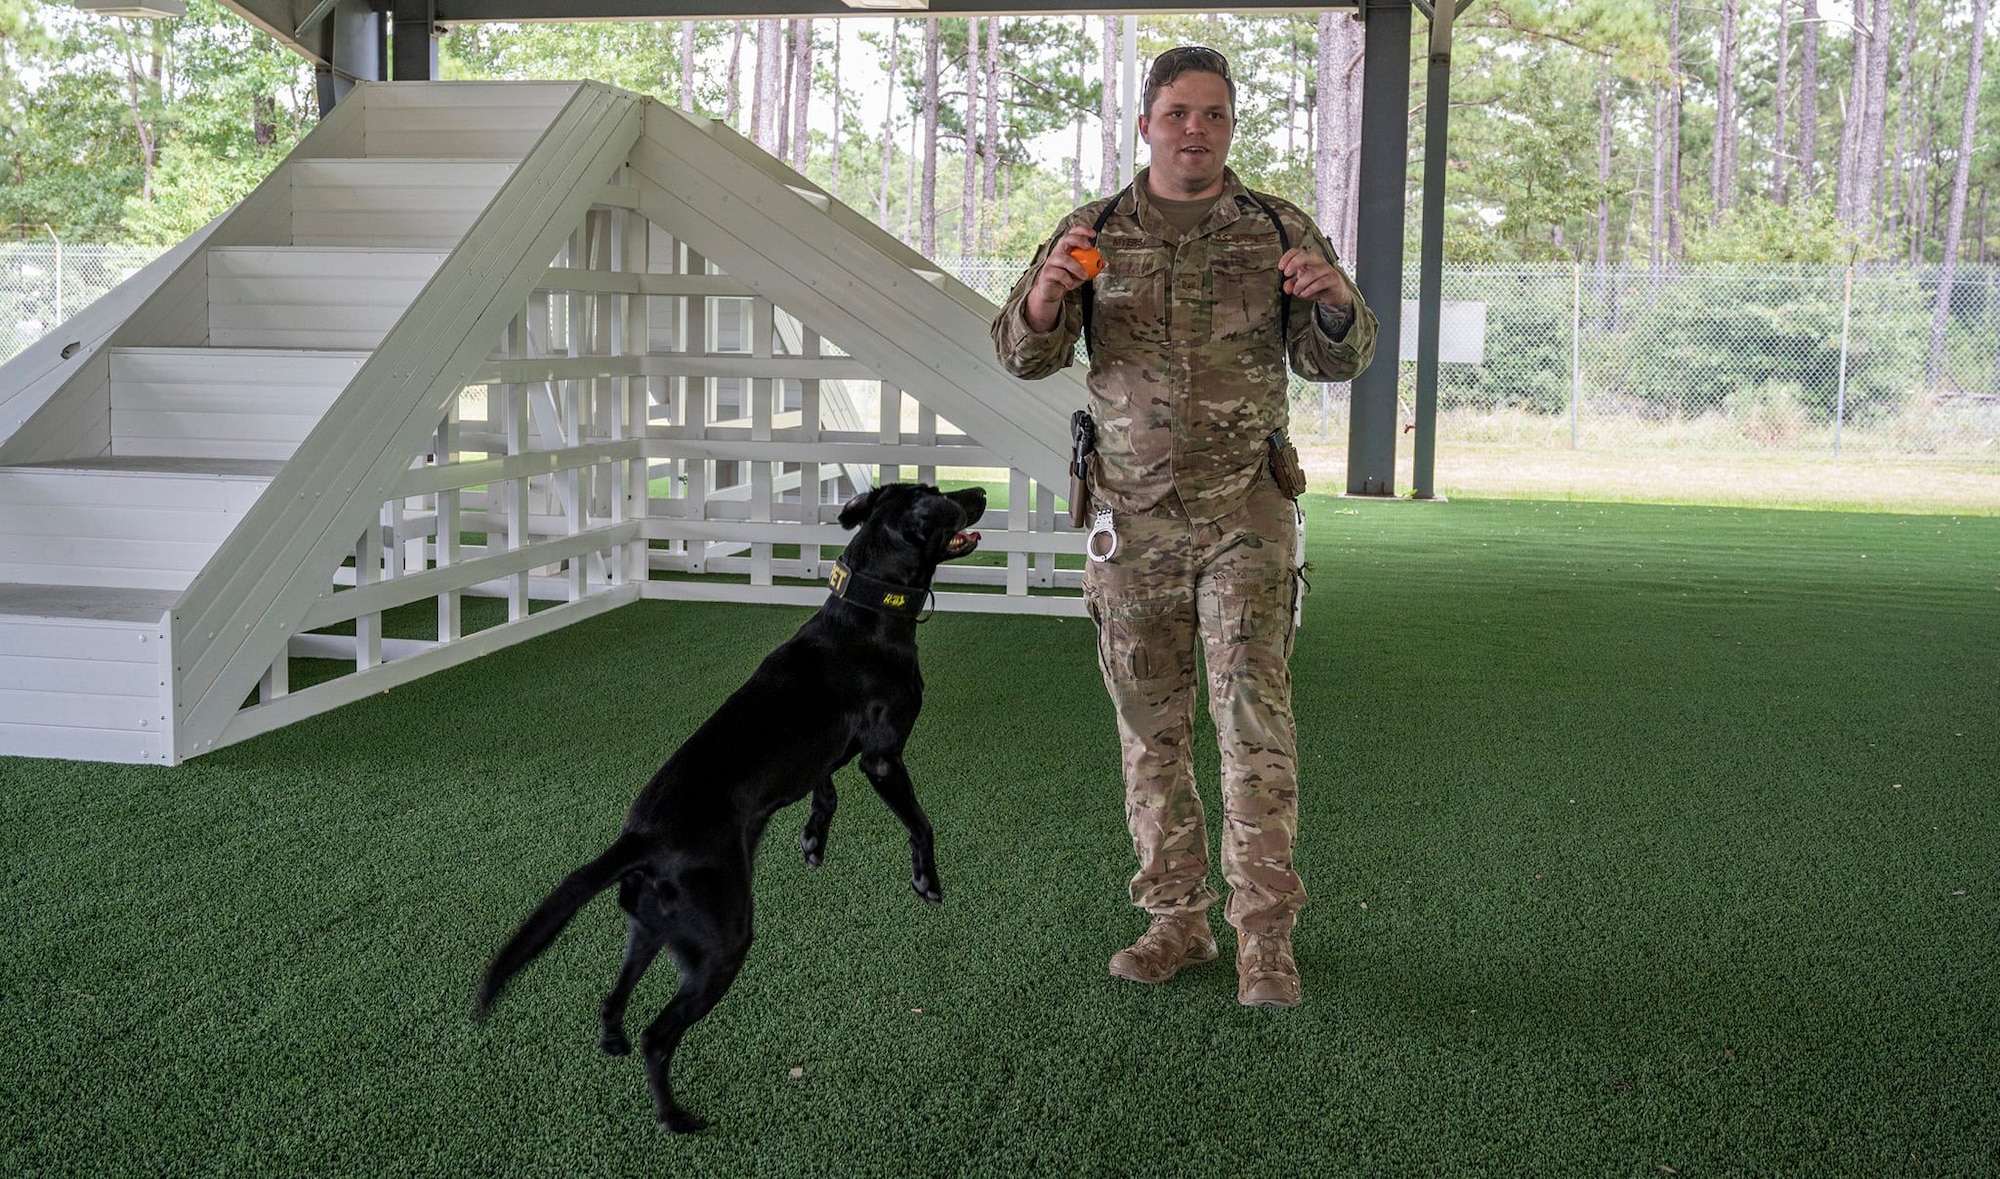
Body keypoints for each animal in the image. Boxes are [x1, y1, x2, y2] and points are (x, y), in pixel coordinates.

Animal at [478, 483, 992, 1135]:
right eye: (941, 499)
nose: (980, 490)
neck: (869, 614)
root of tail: (640, 839)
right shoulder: (882, 759)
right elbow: (920, 823)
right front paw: (927, 881)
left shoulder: (827, 756)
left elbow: (824, 789)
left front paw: (813, 840)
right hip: (723, 945)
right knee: (658, 1036)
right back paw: (674, 1117)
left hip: (650, 929)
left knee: (614, 997)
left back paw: (613, 1041)